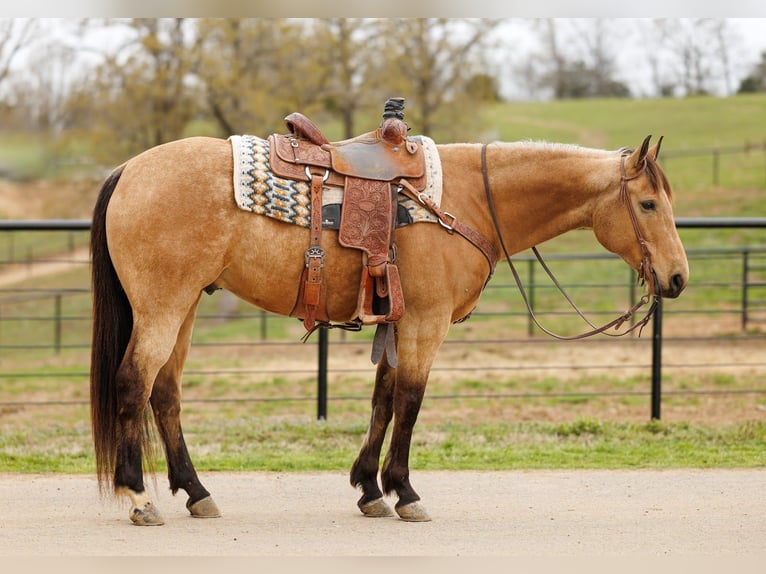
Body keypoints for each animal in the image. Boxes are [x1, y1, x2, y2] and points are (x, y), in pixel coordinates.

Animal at [90, 130, 688, 525]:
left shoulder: (397, 323)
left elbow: (383, 399)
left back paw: (195, 492)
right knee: (133, 384)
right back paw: (138, 496)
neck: (467, 199)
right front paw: (405, 491)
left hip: (185, 306)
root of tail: (127, 170)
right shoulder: (426, 322)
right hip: (163, 306)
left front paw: (369, 488)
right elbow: (410, 400)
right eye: (648, 203)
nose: (678, 277)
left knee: (165, 393)